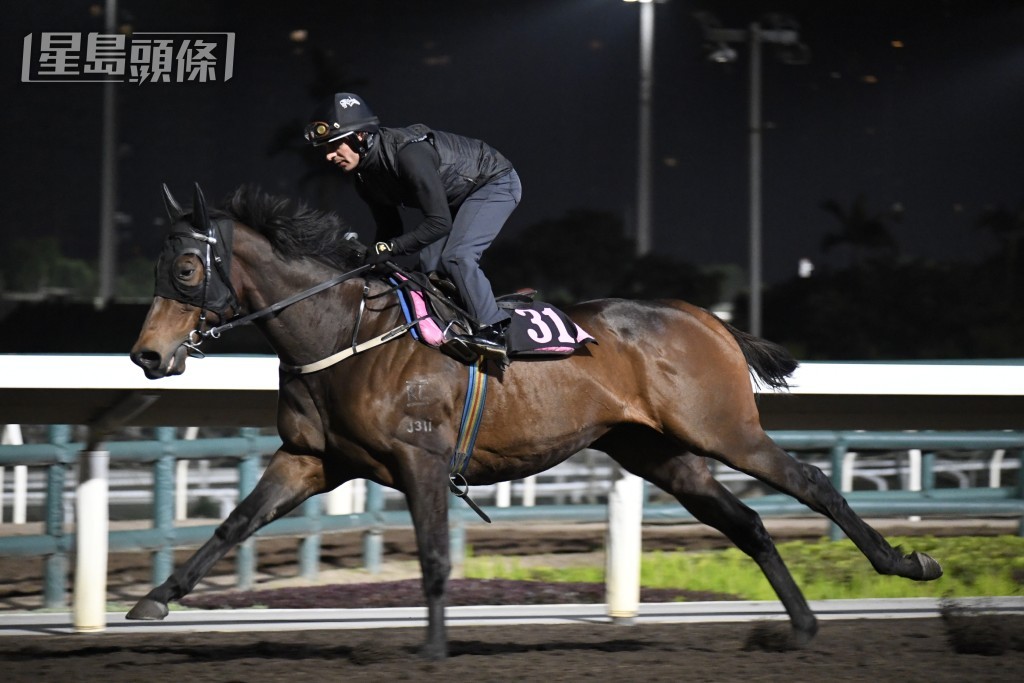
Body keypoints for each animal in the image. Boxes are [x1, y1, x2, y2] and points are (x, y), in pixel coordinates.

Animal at [128, 184, 942, 659]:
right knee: (746, 520)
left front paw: (433, 651)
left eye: (187, 271)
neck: (341, 330)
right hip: (656, 450)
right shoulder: (309, 458)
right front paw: (152, 599)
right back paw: (801, 625)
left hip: (721, 429)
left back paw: (906, 564)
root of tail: (705, 317)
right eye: (158, 268)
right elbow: (233, 524)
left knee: (809, 482)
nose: (147, 354)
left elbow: (433, 558)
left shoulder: (419, 459)